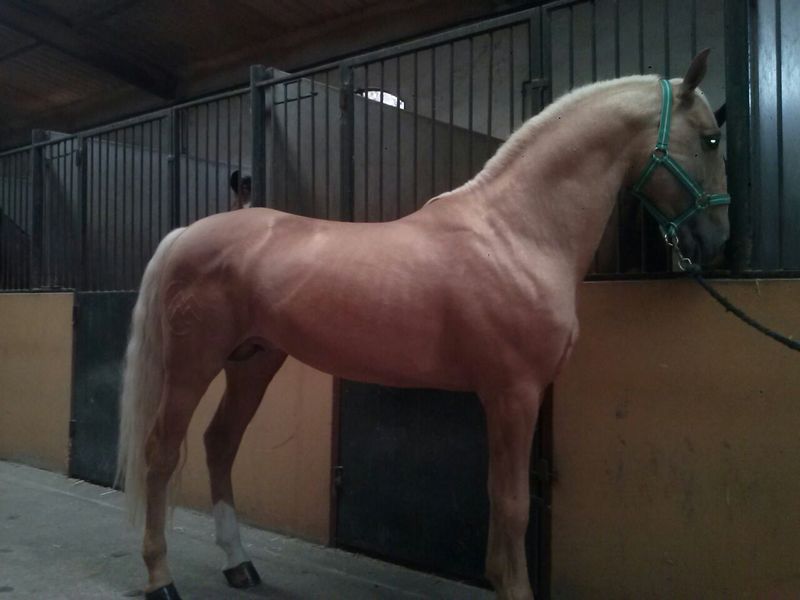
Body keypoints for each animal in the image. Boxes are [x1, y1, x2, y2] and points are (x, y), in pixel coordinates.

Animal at [116, 50, 729, 600]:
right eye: (710, 138)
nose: (716, 239)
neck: (515, 233)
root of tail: (185, 234)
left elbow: (499, 502)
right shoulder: (513, 394)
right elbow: (511, 506)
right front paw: (513, 586)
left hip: (253, 361)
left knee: (220, 442)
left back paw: (238, 564)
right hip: (192, 363)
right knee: (160, 453)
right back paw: (160, 579)